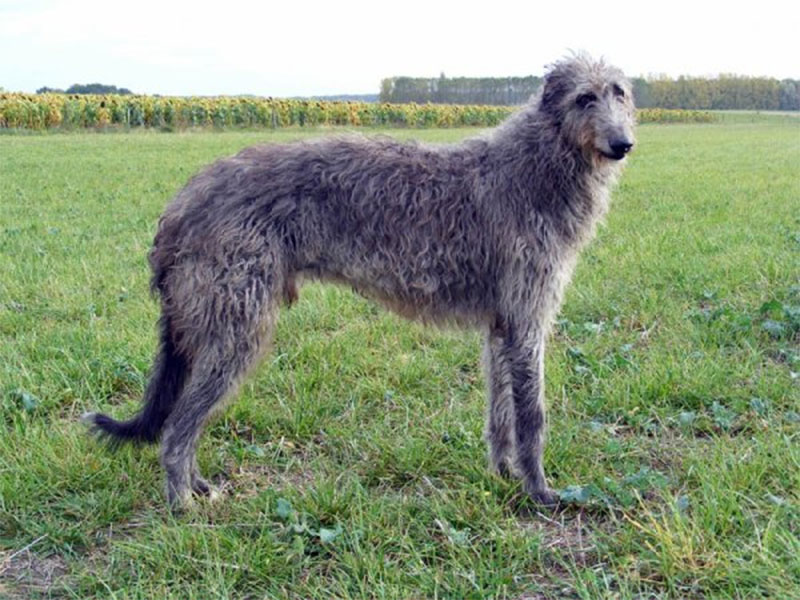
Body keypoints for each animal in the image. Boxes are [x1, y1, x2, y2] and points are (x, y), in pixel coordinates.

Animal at [84, 54, 636, 508]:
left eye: (620, 93)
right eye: (584, 97)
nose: (623, 144)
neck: (537, 164)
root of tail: (180, 206)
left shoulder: (501, 326)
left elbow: (501, 412)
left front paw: (502, 474)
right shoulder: (526, 320)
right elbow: (532, 416)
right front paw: (540, 492)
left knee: (184, 420)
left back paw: (197, 485)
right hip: (237, 326)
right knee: (178, 426)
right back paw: (182, 502)